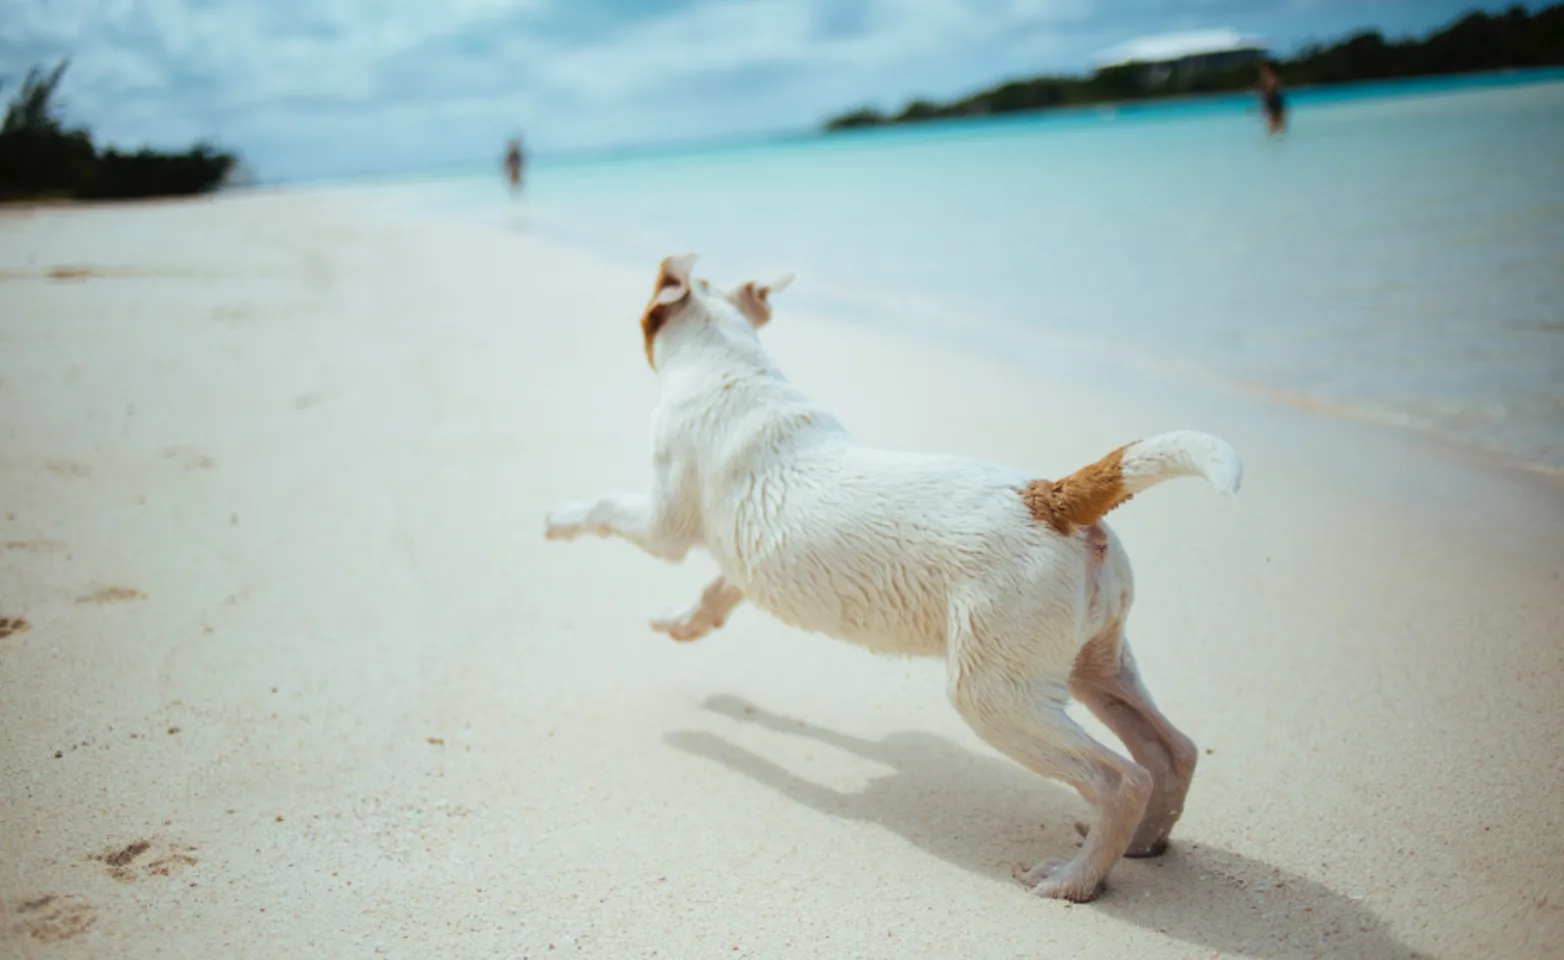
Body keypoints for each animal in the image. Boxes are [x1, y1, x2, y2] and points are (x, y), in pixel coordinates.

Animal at [544, 253, 1238, 900]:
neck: (731, 367)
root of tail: (1053, 497)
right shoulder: (741, 559)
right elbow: (717, 591)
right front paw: (683, 624)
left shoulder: (663, 523)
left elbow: (606, 508)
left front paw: (558, 520)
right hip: (1093, 666)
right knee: (1171, 750)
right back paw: (1144, 844)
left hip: (995, 694)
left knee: (1120, 778)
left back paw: (1074, 879)